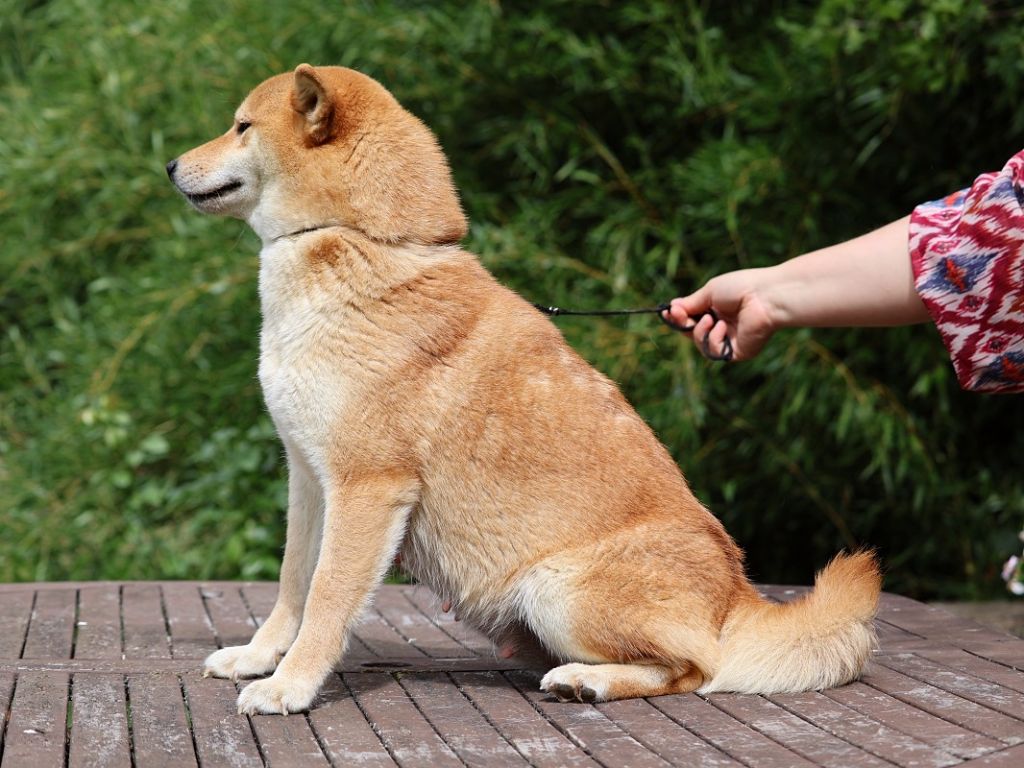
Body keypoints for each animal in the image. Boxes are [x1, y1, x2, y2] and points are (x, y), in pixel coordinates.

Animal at [167, 64, 880, 716]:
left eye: (241, 126)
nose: (171, 164)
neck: (366, 242)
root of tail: (738, 598)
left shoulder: (367, 486)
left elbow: (327, 597)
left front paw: (288, 687)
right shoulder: (310, 476)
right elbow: (293, 582)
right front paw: (257, 658)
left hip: (555, 589)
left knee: (694, 670)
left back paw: (588, 681)